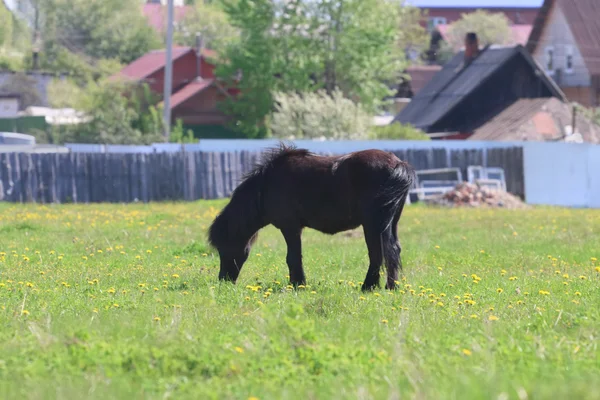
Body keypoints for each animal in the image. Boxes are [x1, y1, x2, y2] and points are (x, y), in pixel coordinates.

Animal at [209, 144, 414, 290]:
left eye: (223, 248)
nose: (223, 280)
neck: (266, 185)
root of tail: (398, 164)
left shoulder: (290, 226)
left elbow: (293, 257)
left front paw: (298, 284)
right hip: (390, 223)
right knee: (393, 250)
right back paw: (391, 287)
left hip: (373, 224)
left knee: (379, 253)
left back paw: (369, 287)